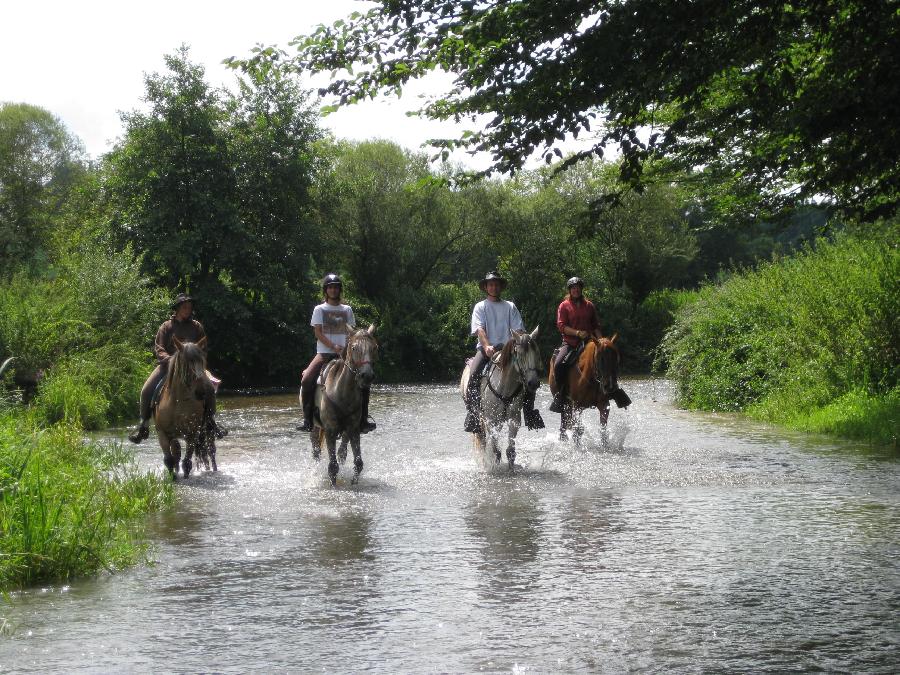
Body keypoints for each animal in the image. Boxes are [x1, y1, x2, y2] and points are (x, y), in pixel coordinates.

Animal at [154, 336, 217, 476]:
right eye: (187, 363)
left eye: (202, 361)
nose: (201, 391)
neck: (176, 402)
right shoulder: (163, 433)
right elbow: (170, 459)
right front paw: (173, 476)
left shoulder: (191, 434)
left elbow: (187, 462)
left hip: (207, 429)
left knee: (210, 450)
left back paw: (213, 469)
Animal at [308, 324, 378, 486]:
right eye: (354, 347)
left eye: (374, 347)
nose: (366, 376)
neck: (342, 392)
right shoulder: (330, 430)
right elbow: (333, 467)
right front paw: (333, 485)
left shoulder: (353, 429)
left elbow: (358, 463)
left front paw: (354, 482)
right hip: (316, 427)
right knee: (316, 450)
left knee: (342, 450)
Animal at [458, 328, 540, 470]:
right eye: (520, 354)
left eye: (535, 353)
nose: (533, 383)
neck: (504, 386)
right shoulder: (491, 420)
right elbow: (496, 451)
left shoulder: (514, 419)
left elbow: (510, 451)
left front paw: (511, 470)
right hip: (480, 417)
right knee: (482, 440)